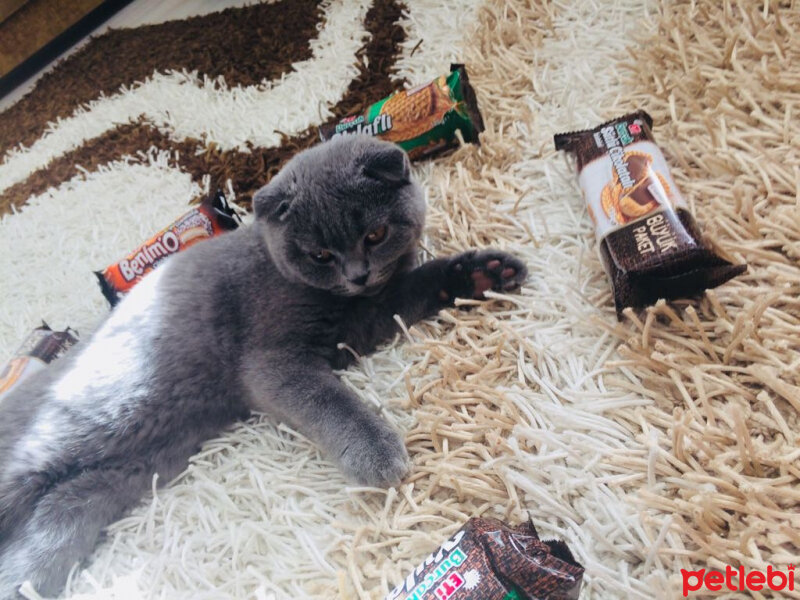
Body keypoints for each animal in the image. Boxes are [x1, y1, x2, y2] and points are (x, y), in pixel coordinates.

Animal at [0, 134, 524, 596]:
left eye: (374, 234)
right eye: (320, 254)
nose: (358, 274)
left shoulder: (366, 319)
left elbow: (413, 289)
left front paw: (485, 273)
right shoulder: (270, 360)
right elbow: (327, 398)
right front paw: (377, 454)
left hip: (103, 484)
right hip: (72, 433)